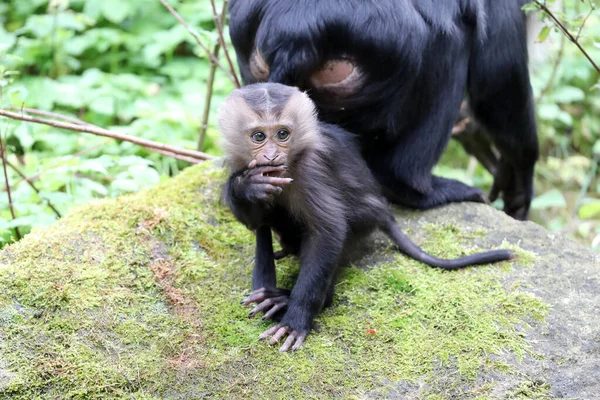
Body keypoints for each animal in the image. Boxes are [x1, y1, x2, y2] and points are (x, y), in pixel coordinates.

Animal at [219, 83, 510, 352]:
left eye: (282, 134)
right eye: (258, 136)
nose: (271, 156)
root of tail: (382, 209)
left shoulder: (311, 170)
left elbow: (329, 231)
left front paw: (296, 320)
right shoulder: (243, 162)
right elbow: (256, 221)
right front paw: (247, 186)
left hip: (363, 218)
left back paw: (284, 298)